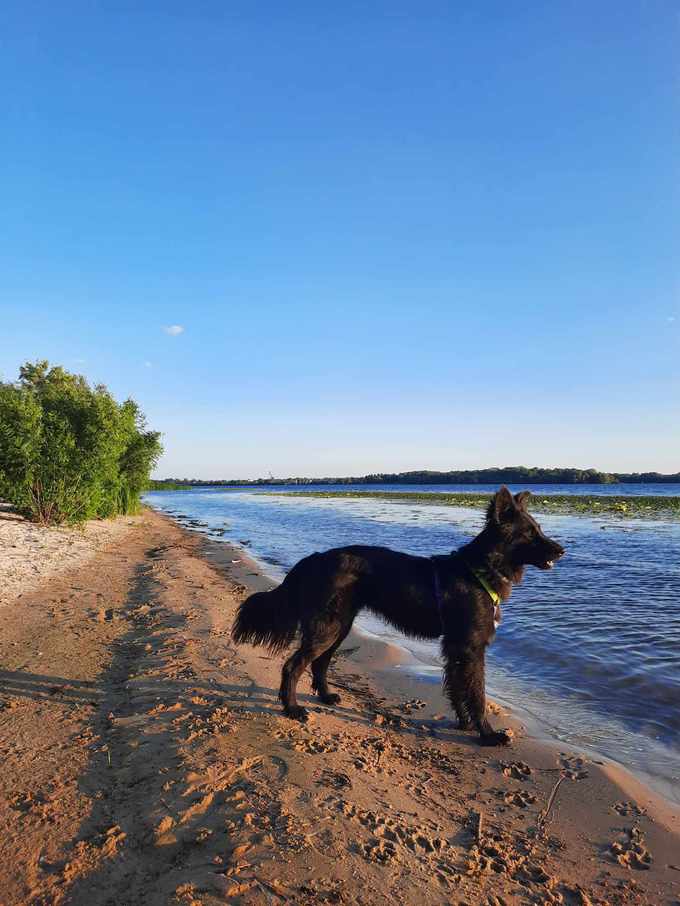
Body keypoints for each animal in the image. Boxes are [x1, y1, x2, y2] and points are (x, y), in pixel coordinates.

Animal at [234, 488, 564, 740]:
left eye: (539, 529)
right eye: (530, 533)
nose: (562, 551)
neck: (479, 571)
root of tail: (314, 559)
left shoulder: (455, 649)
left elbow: (458, 689)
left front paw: (465, 725)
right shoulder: (470, 647)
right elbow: (477, 693)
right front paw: (488, 735)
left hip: (339, 627)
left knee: (319, 664)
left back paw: (326, 697)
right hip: (327, 628)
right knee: (293, 665)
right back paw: (292, 709)